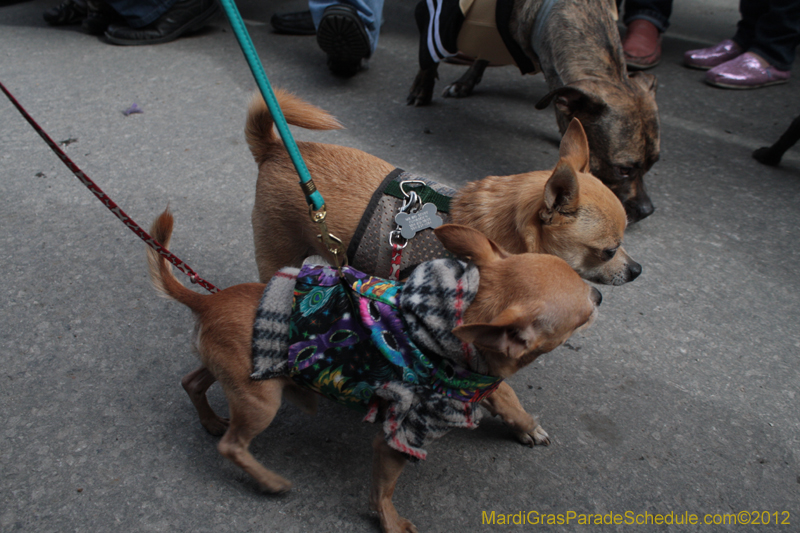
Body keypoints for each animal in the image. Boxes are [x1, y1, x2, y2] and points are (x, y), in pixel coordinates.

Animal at [148, 210, 600, 528]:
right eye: (584, 312)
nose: (598, 293)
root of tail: (207, 300)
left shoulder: (485, 383)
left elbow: (506, 397)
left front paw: (525, 425)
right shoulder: (398, 438)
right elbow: (384, 490)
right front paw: (390, 523)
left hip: (242, 376)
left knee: (192, 382)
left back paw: (210, 420)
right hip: (262, 401)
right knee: (232, 446)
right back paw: (268, 480)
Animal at [410, 0, 660, 222]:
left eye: (653, 163)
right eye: (623, 169)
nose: (647, 210)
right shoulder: (444, 19)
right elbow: (428, 53)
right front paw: (423, 85)